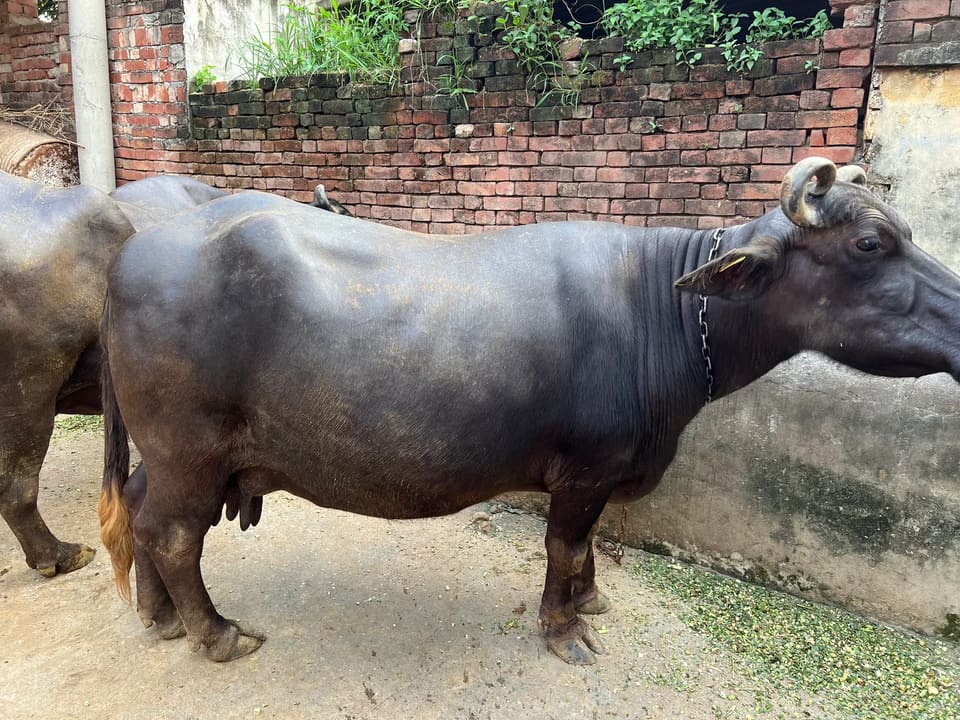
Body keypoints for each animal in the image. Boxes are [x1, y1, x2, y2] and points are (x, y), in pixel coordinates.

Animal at [98, 158, 960, 664]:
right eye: (870, 246)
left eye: (906, 233)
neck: (665, 312)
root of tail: (131, 253)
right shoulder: (584, 471)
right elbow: (564, 546)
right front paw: (564, 627)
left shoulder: (604, 475)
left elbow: (587, 550)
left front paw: (590, 599)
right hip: (188, 450)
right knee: (172, 534)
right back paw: (215, 633)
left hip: (169, 456)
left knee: (139, 512)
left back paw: (158, 617)